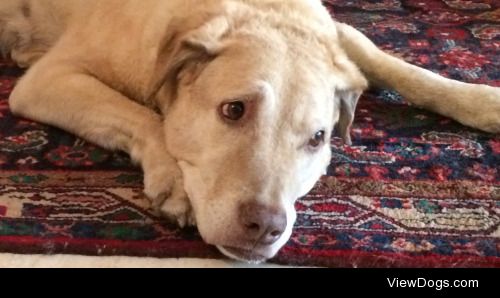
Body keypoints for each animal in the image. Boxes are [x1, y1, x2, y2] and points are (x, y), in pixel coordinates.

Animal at [2, 0, 500, 262]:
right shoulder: (50, 80)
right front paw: (174, 183)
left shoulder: (338, 35)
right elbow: (142, 116)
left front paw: (481, 100)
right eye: (233, 110)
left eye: (317, 139)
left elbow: (394, 64)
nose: (266, 226)